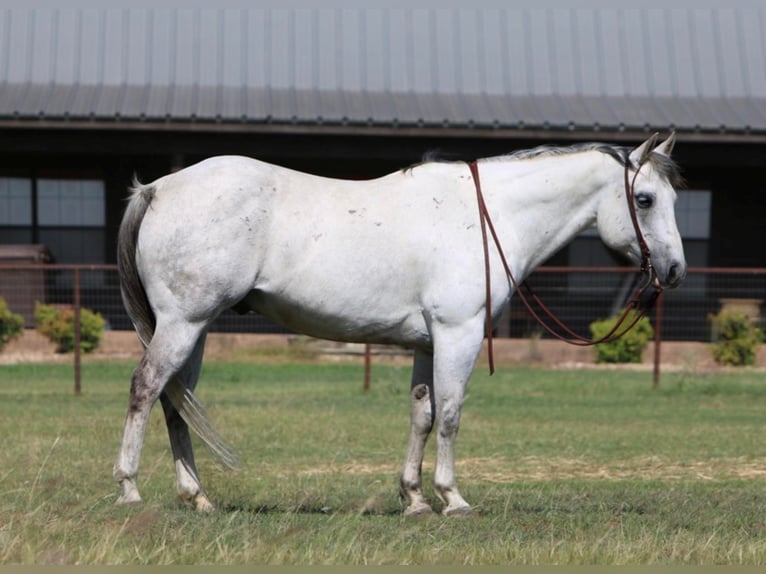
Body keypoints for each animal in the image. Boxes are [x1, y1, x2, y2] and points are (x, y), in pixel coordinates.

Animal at [114, 133, 686, 516]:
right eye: (644, 199)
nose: (675, 270)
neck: (487, 217)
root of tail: (159, 188)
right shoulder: (459, 333)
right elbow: (451, 413)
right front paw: (452, 498)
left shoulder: (428, 343)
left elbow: (422, 414)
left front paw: (414, 498)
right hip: (183, 323)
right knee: (146, 388)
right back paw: (130, 489)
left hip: (195, 329)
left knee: (176, 401)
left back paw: (197, 496)